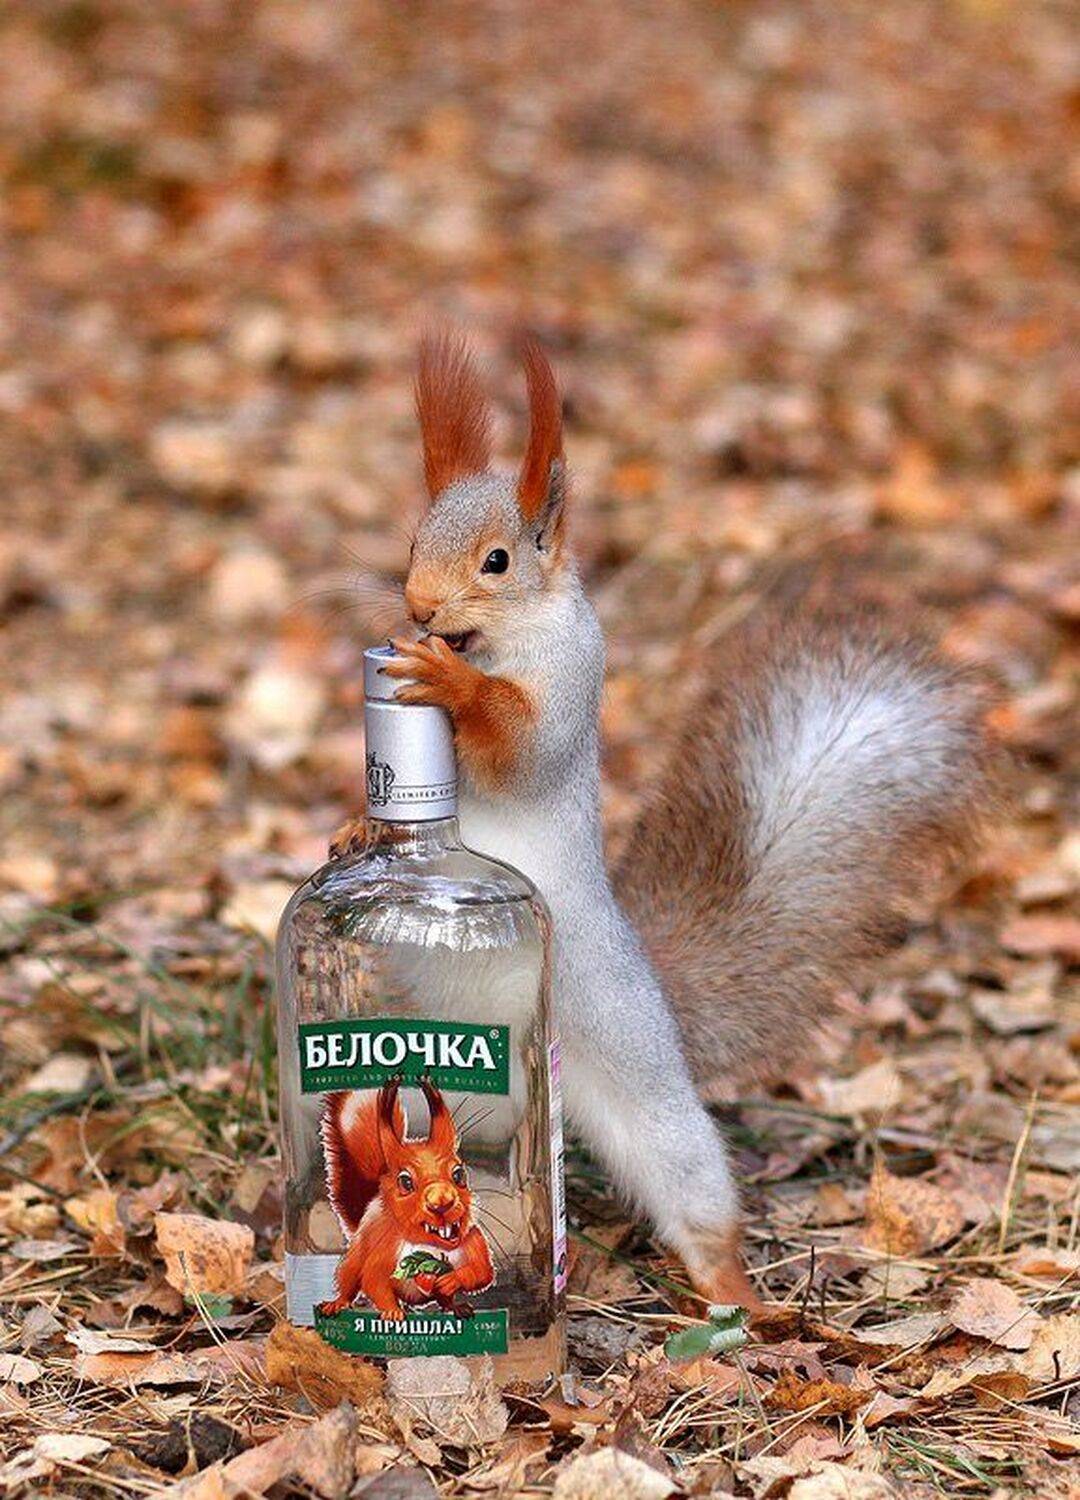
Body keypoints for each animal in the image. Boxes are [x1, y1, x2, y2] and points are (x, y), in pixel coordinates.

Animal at [318, 1077, 495, 1320]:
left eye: (459, 1174)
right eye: (405, 1182)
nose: (442, 1201)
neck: (429, 1245)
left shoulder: (473, 1240)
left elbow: (482, 1272)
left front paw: (452, 1279)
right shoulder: (385, 1248)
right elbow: (373, 1279)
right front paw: (392, 1312)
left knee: (445, 1299)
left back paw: (454, 1306)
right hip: (354, 1257)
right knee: (349, 1279)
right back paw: (338, 1303)